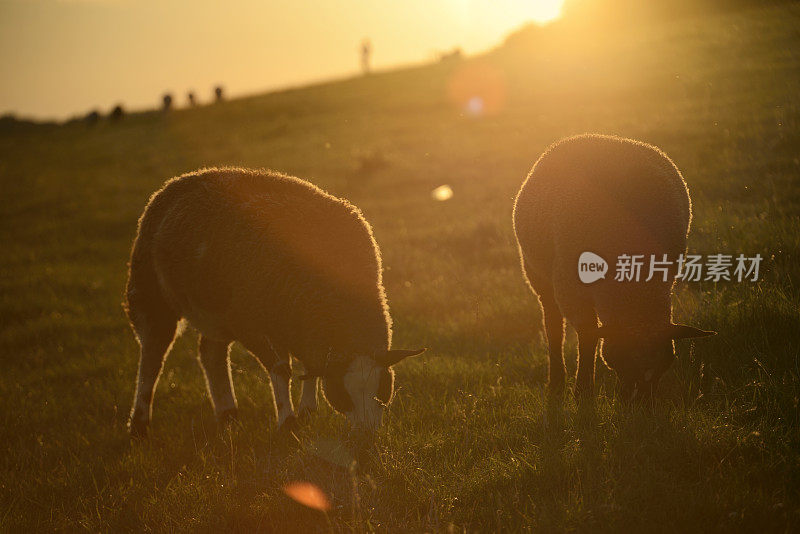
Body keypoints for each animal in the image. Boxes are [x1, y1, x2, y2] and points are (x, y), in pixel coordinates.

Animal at [123, 170, 424, 438]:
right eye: (341, 394)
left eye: (383, 388)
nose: (367, 434)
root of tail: (178, 182)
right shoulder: (250, 323)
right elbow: (281, 369)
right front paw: (287, 422)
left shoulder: (301, 325)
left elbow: (310, 366)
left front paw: (307, 412)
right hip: (150, 294)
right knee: (152, 357)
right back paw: (139, 424)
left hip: (217, 313)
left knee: (210, 353)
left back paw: (227, 415)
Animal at [516, 135, 716, 402]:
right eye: (622, 360)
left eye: (666, 363)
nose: (641, 405)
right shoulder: (570, 290)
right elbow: (587, 338)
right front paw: (583, 390)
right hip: (537, 275)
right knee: (553, 325)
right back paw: (556, 380)